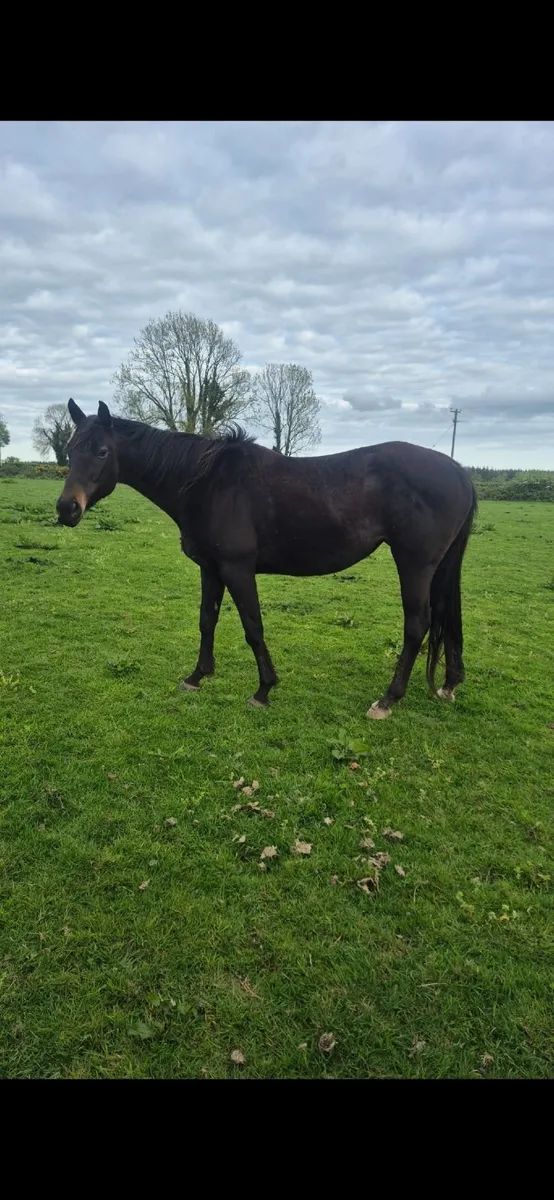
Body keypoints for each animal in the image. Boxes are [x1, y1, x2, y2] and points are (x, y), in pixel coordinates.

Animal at [56, 399, 477, 718]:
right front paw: (197, 676)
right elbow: (206, 621)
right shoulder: (211, 569)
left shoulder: (238, 569)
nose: (66, 509)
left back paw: (388, 699)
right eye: (70, 449)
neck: (208, 482)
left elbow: (253, 627)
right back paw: (449, 683)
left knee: (417, 625)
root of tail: (457, 470)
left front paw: (263, 690)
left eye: (102, 451)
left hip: (415, 564)